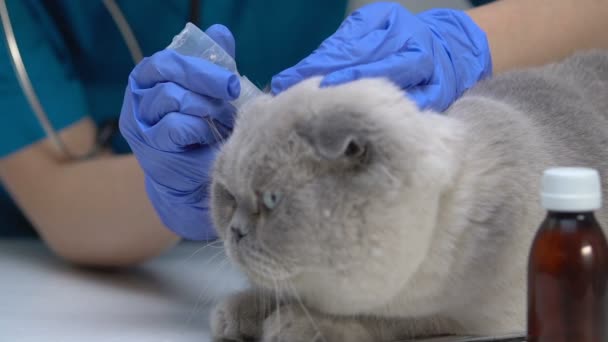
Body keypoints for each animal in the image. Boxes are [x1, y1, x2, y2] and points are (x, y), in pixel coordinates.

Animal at [207, 49, 604, 340]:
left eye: (271, 201)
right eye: (228, 196)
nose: (235, 232)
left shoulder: (473, 315)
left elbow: (385, 320)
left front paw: (294, 326)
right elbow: (278, 292)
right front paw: (238, 315)